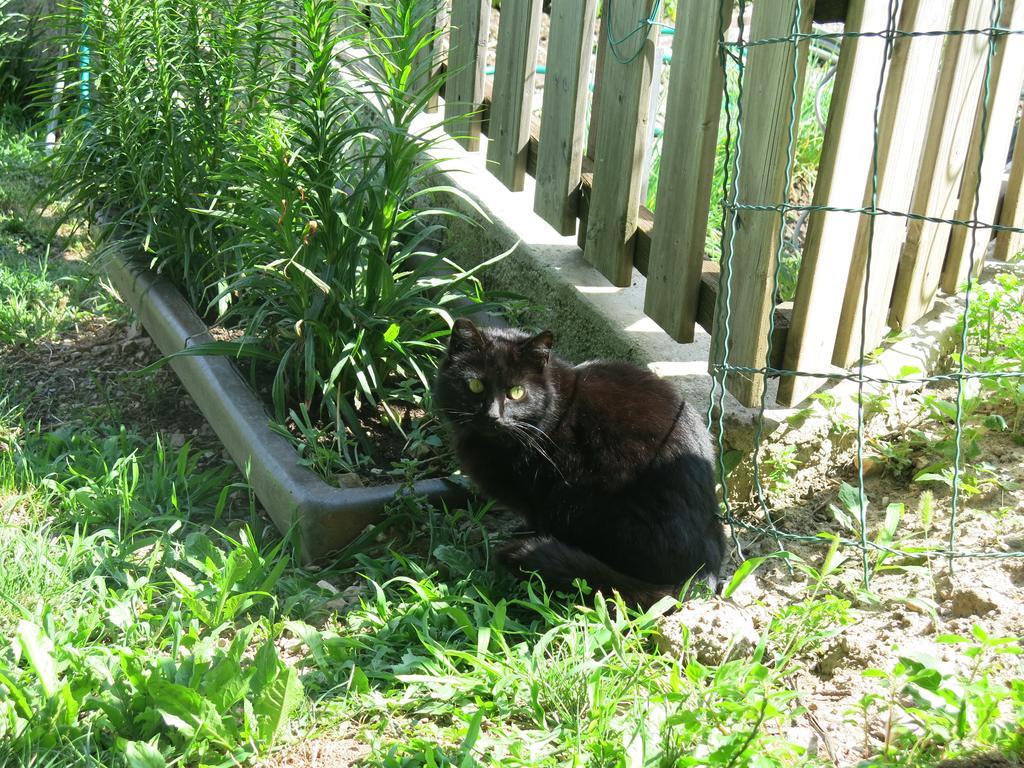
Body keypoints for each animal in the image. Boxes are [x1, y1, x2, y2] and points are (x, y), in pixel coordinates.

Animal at [434, 319, 729, 606]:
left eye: (517, 392)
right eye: (475, 386)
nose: (493, 416)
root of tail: (702, 571)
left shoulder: (541, 494)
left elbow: (534, 520)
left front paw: (525, 538)